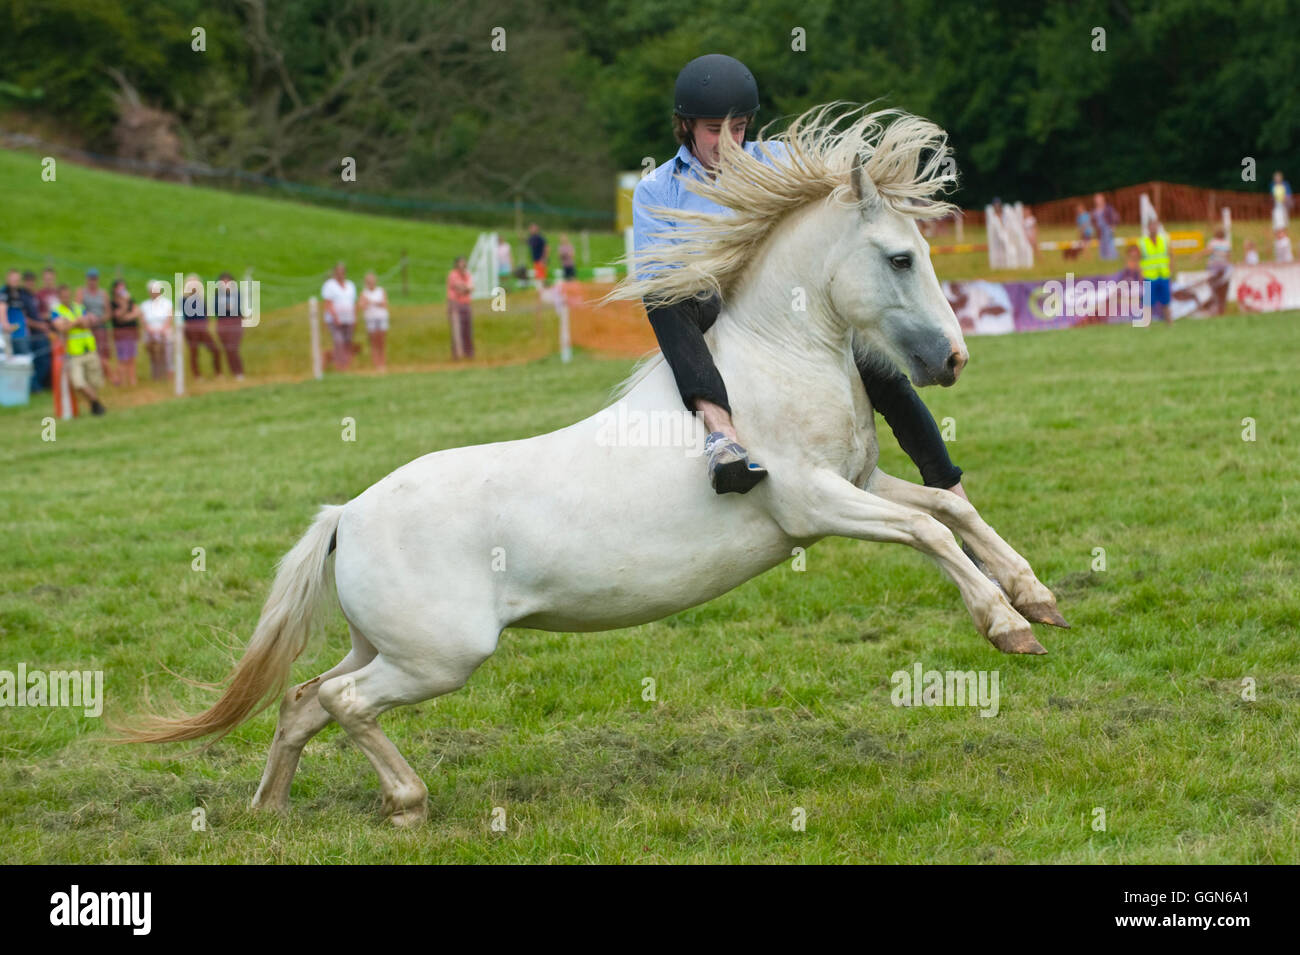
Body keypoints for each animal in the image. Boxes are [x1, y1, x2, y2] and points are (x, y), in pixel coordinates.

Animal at [118, 103, 1067, 826]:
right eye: (900, 257)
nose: (951, 360)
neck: (777, 358)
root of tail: (345, 516)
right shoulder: (814, 506)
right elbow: (924, 530)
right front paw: (1003, 624)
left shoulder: (858, 483)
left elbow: (949, 509)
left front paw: (1035, 596)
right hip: (438, 657)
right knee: (344, 704)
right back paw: (408, 802)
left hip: (379, 643)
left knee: (305, 698)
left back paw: (269, 809)